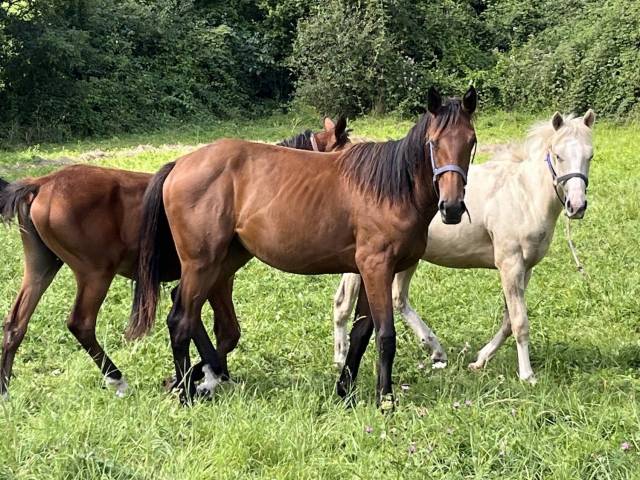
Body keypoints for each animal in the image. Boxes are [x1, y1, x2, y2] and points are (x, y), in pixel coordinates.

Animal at [0, 118, 349, 399]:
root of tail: (41, 184)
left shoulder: (210, 277)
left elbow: (210, 326)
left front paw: (201, 374)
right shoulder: (217, 277)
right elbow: (224, 330)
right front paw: (202, 375)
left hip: (42, 267)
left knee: (16, 323)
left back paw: (4, 389)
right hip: (95, 273)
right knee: (80, 323)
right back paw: (117, 380)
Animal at [128, 87, 478, 406]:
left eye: (471, 142)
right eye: (433, 142)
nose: (451, 207)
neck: (393, 189)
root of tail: (179, 164)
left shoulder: (370, 272)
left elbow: (361, 334)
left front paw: (345, 392)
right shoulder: (377, 268)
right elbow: (385, 335)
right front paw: (385, 399)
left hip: (226, 260)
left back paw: (201, 377)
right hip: (202, 263)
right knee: (180, 321)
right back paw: (187, 391)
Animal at [332, 110, 595, 384]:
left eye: (590, 156)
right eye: (558, 155)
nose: (577, 206)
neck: (523, 195)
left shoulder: (526, 268)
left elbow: (508, 321)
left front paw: (480, 360)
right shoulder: (510, 264)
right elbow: (519, 322)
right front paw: (527, 375)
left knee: (397, 299)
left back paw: (435, 351)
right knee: (344, 303)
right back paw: (341, 358)